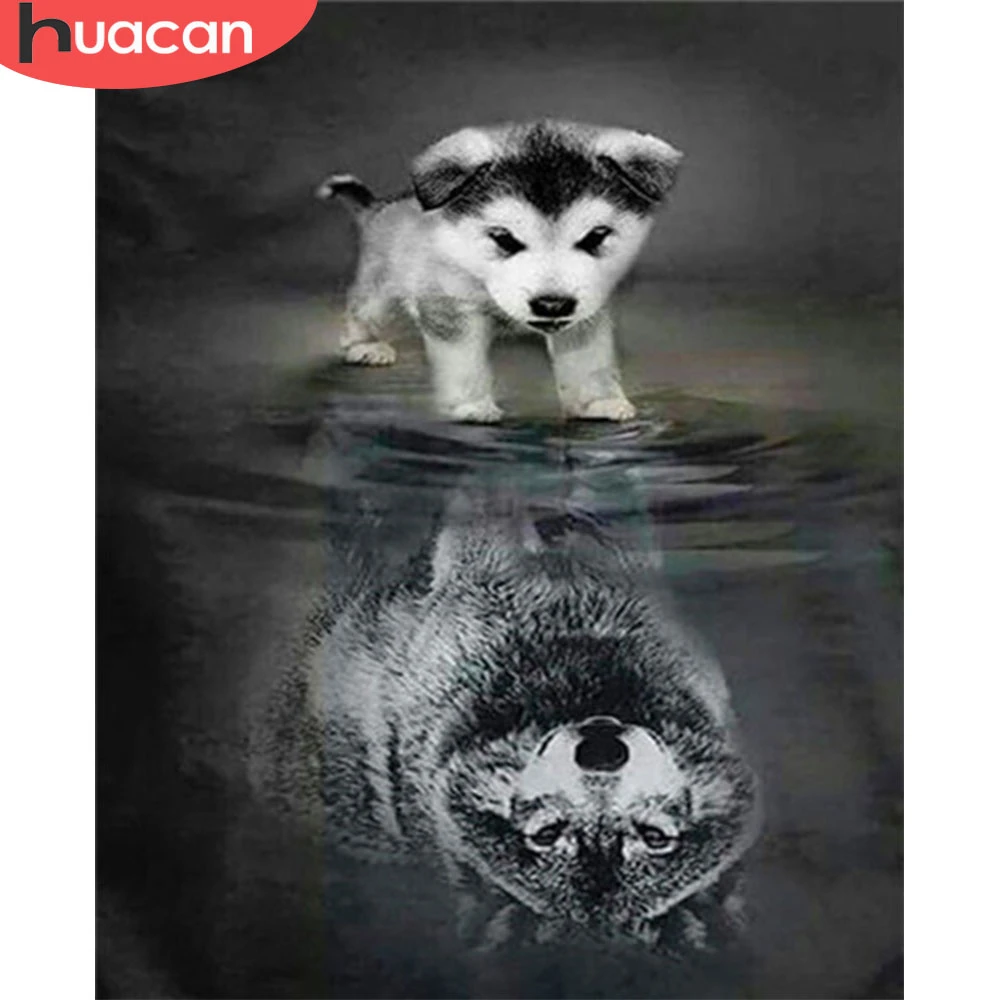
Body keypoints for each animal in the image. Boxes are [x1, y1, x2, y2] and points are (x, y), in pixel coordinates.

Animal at [316, 120, 684, 424]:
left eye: (596, 236)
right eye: (503, 238)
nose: (552, 304)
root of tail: (382, 206)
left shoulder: (587, 312)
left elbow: (588, 359)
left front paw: (596, 403)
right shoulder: (452, 309)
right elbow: (462, 358)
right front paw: (471, 406)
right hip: (381, 289)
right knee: (361, 309)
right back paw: (363, 345)